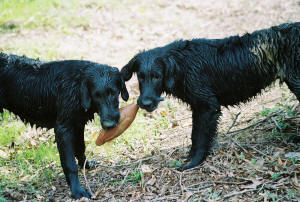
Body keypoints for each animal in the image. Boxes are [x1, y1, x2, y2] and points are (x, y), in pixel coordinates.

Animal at [0, 52, 127, 199]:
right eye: (96, 95)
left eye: (113, 93)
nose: (109, 125)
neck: (76, 86)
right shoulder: (63, 129)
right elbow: (70, 164)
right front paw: (77, 190)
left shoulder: (78, 124)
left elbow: (81, 149)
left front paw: (86, 165)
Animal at [121, 22, 300, 170]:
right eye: (140, 77)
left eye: (157, 76)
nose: (145, 103)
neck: (182, 64)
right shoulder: (197, 107)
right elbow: (194, 135)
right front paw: (190, 157)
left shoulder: (207, 106)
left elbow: (201, 137)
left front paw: (194, 162)